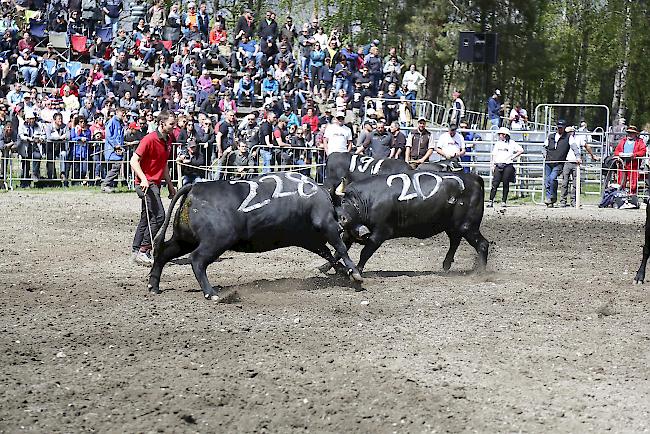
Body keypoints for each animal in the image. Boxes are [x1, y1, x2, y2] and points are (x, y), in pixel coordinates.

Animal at [145, 171, 362, 300]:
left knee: (163, 253)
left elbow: (328, 254)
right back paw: (211, 293)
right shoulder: (327, 225)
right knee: (197, 259)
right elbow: (340, 247)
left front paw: (343, 272)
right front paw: (355, 274)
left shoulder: (309, 239)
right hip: (216, 241)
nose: (362, 230)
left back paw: (153, 285)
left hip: (185, 240)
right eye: (348, 202)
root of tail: (195, 187)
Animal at [322, 171, 488, 272]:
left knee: (482, 244)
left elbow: (365, 252)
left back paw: (481, 271)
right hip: (453, 226)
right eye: (342, 201)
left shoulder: (380, 234)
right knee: (455, 242)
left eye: (352, 203)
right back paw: (446, 265)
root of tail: (474, 178)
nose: (343, 219)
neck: (367, 201)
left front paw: (359, 270)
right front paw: (324, 267)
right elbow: (339, 250)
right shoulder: (349, 234)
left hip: (468, 226)